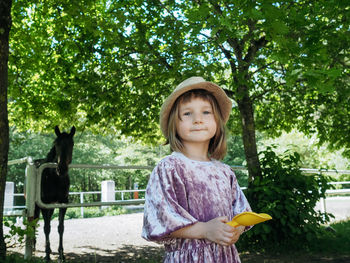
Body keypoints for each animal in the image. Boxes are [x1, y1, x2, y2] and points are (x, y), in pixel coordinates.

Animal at [34, 126, 75, 262]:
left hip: (51, 207)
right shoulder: (44, 204)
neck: (55, 178)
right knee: (34, 222)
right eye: (56, 144)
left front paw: (61, 255)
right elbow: (46, 228)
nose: (61, 169)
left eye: (72, 144)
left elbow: (60, 228)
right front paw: (47, 256)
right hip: (37, 206)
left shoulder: (63, 203)